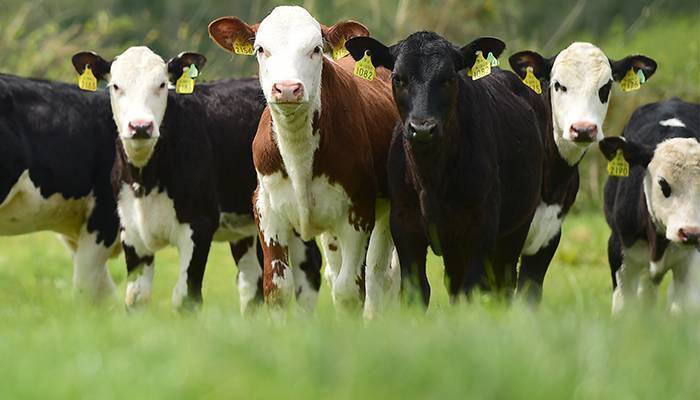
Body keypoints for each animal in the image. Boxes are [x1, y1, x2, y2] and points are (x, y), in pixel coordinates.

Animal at [71, 46, 322, 312]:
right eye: (116, 86)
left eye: (162, 84)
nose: (140, 127)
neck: (146, 179)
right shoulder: (131, 231)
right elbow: (135, 298)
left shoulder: (200, 225)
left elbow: (186, 298)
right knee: (251, 279)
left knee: (308, 267)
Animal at [209, 6, 400, 317]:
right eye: (261, 49)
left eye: (316, 49)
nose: (287, 88)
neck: (299, 155)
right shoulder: (266, 208)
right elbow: (277, 288)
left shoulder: (359, 211)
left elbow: (349, 290)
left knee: (379, 276)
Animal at [345, 32, 544, 304]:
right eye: (398, 78)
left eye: (449, 78)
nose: (422, 128)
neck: (431, 179)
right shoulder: (405, 225)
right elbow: (417, 290)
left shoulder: (480, 226)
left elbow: (472, 288)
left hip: (516, 229)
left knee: (501, 283)